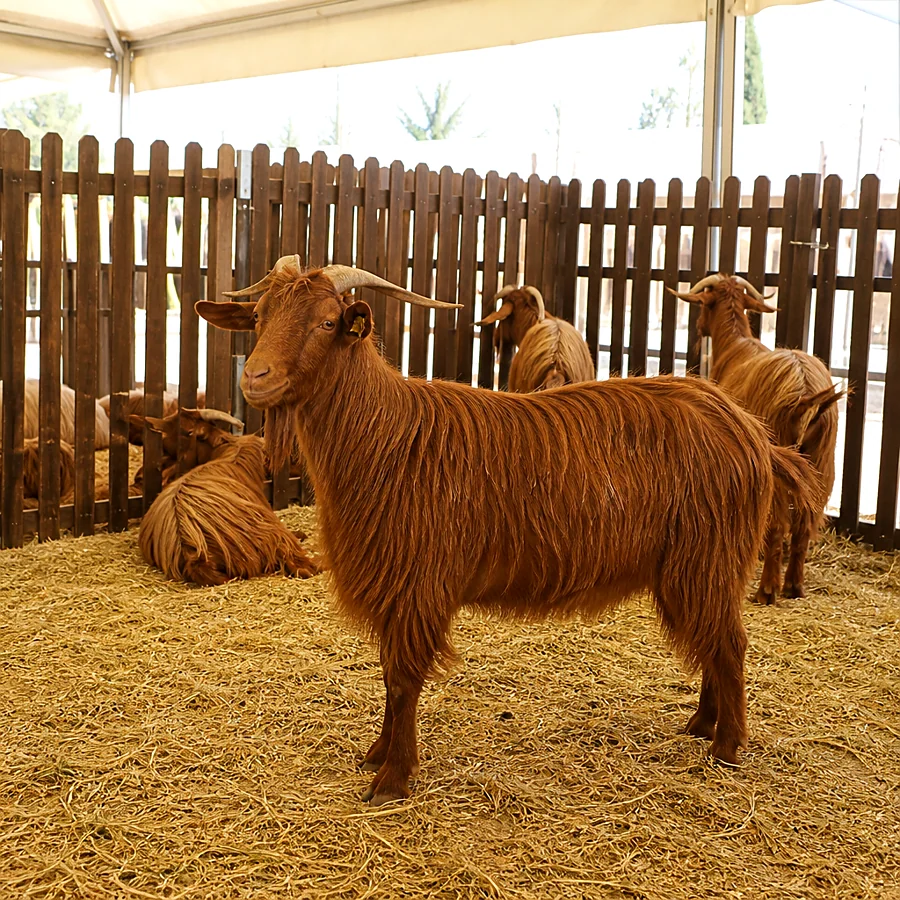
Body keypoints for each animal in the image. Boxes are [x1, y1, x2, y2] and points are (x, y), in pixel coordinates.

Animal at [196, 257, 818, 805]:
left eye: (328, 322)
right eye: (260, 317)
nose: (255, 378)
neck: (385, 435)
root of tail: (751, 431)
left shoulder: (418, 584)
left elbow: (403, 680)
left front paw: (393, 779)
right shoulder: (395, 588)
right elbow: (389, 677)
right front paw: (377, 754)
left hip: (706, 557)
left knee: (729, 643)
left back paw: (727, 748)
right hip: (698, 567)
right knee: (714, 640)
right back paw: (700, 724)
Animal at [670, 274, 841, 605]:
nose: (698, 327)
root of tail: (806, 395)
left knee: (777, 524)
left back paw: (767, 590)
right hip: (820, 462)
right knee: (804, 524)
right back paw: (794, 587)